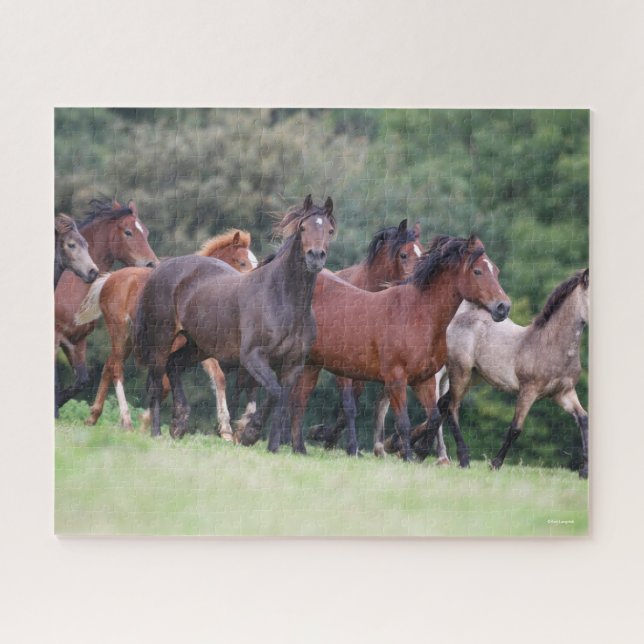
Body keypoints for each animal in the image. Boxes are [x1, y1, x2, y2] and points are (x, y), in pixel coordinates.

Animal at [55, 199, 159, 413]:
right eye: (128, 232)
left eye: (146, 232)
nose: (152, 264)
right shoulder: (57, 335)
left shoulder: (77, 340)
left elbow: (81, 381)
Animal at [75, 230, 257, 433]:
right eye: (242, 262)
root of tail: (110, 278)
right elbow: (166, 382)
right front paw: (151, 423)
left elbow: (217, 377)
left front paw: (225, 429)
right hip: (120, 333)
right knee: (117, 368)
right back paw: (127, 421)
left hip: (128, 339)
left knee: (109, 365)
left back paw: (93, 417)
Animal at [134, 195, 336, 450]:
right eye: (303, 227)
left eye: (330, 230)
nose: (315, 257)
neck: (282, 300)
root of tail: (162, 269)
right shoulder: (252, 358)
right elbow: (274, 392)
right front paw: (248, 433)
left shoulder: (293, 365)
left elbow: (281, 401)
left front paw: (272, 447)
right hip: (162, 339)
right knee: (157, 383)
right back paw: (157, 433)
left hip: (198, 346)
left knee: (174, 365)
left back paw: (179, 423)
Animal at [239, 234, 511, 459]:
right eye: (477, 271)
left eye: (496, 271)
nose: (503, 307)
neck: (418, 314)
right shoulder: (396, 379)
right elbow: (403, 422)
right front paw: (406, 455)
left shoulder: (423, 380)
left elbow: (433, 419)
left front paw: (416, 451)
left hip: (310, 365)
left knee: (298, 401)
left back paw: (299, 448)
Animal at [424, 268, 589, 478]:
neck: (550, 346)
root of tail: (457, 319)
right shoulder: (528, 391)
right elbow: (515, 428)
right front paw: (495, 464)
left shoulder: (563, 393)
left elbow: (584, 419)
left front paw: (584, 471)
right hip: (460, 373)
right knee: (452, 407)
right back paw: (463, 459)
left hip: (473, 377)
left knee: (443, 403)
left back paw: (420, 449)